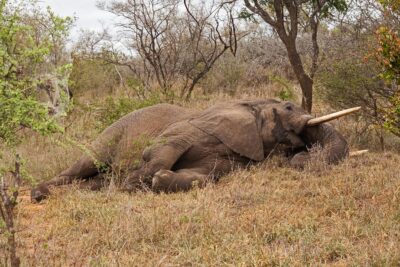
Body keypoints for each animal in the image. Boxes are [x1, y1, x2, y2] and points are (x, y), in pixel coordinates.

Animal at [30, 99, 350, 203]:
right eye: (288, 107)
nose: (301, 155)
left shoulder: (235, 160)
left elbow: (206, 177)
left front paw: (159, 180)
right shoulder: (196, 127)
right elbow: (165, 146)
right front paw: (133, 184)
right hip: (110, 133)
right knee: (84, 164)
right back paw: (37, 194)